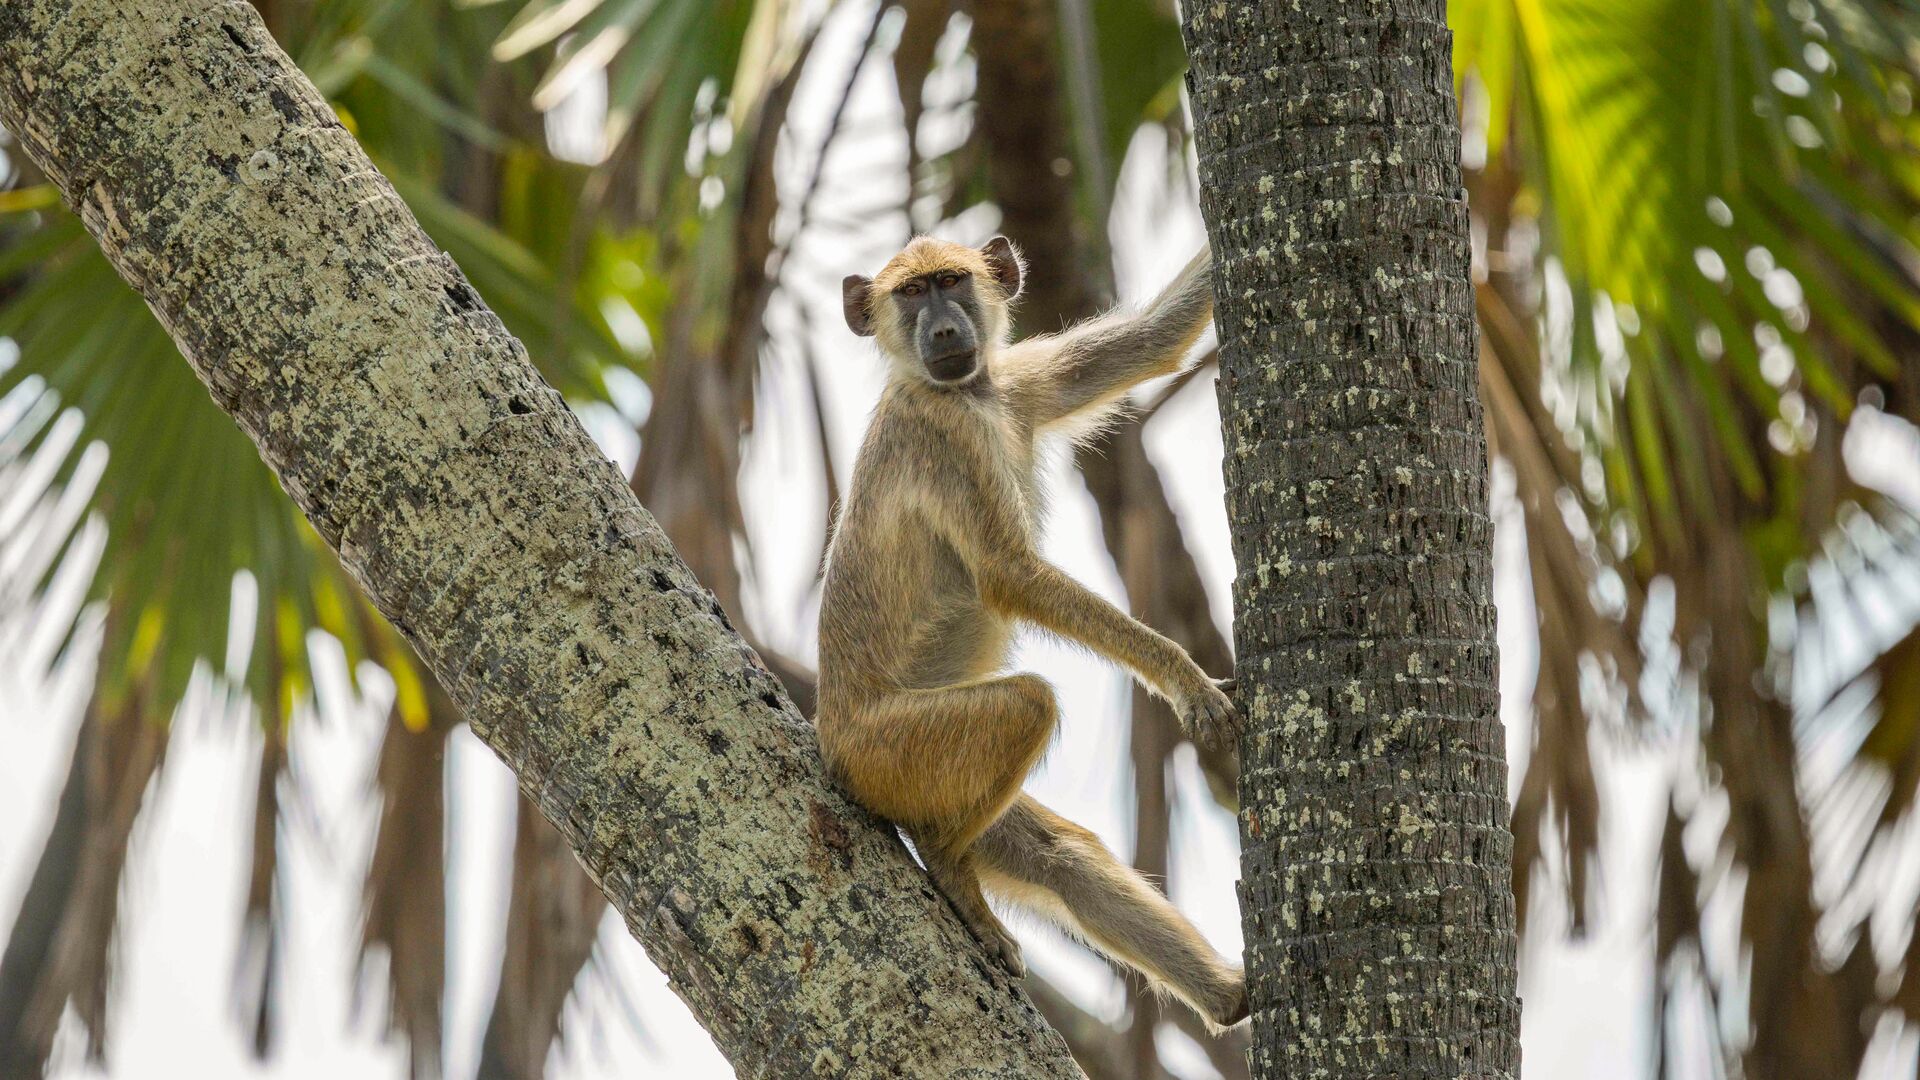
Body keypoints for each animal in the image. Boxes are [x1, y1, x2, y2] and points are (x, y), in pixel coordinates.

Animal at [815, 234, 1246, 1029]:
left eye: (952, 281)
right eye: (910, 294)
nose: (943, 331)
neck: (966, 393)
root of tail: (833, 743)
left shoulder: (1014, 382)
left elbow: (1154, 340)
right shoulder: (945, 436)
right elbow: (1011, 575)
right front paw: (1186, 679)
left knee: (1060, 856)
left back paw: (1233, 1000)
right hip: (889, 754)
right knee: (1026, 706)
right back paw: (947, 865)